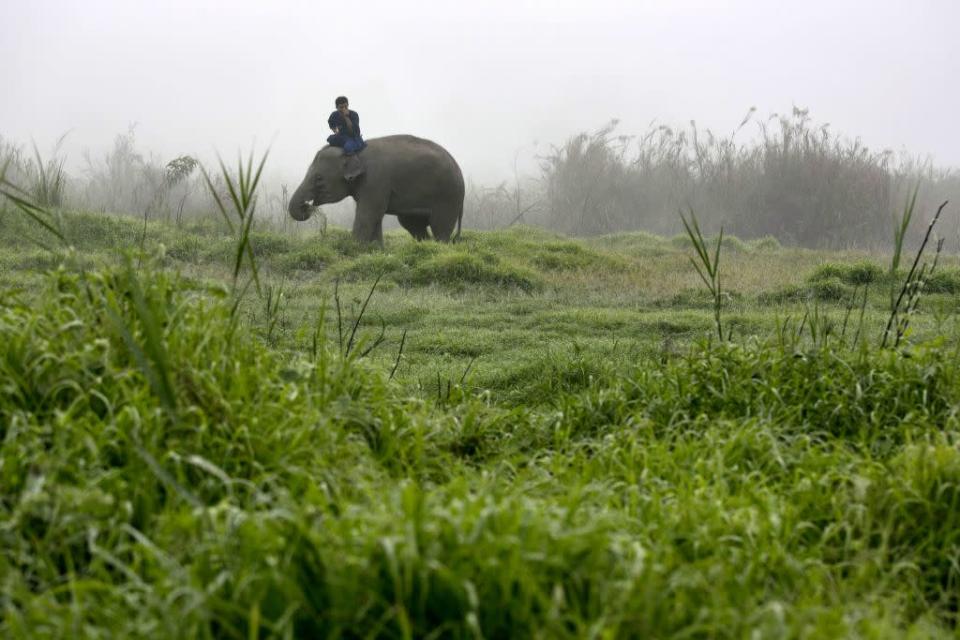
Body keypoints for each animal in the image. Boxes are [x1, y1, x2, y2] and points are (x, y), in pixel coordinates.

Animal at [286, 135, 464, 245]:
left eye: (319, 178)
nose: (307, 206)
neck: (354, 152)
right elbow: (375, 217)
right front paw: (376, 250)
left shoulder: (375, 180)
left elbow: (368, 215)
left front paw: (354, 249)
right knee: (412, 224)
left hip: (448, 195)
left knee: (440, 226)